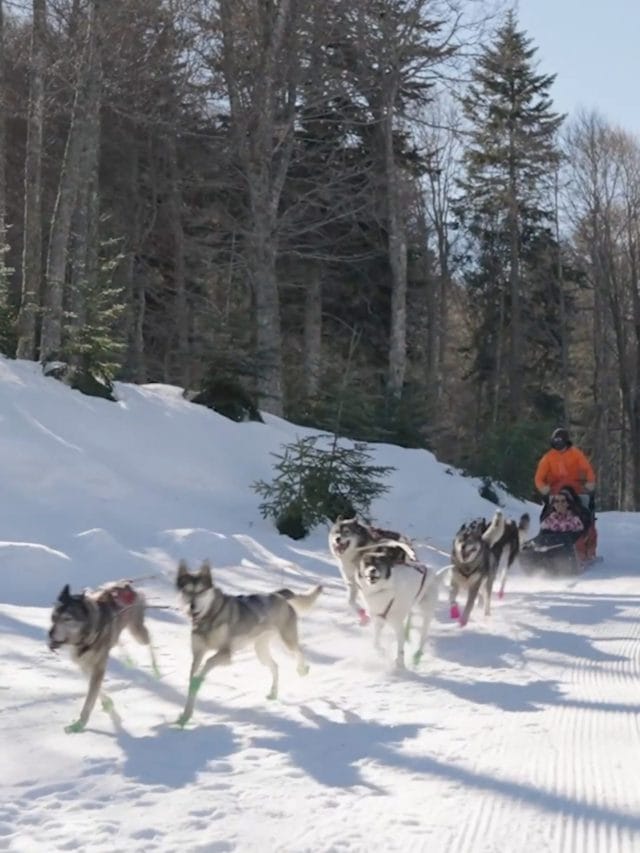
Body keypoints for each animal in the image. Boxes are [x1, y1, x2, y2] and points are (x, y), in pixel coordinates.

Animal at [47, 580, 158, 732]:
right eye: (53, 617)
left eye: (67, 619)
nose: (50, 634)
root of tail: (127, 585)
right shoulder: (85, 665)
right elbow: (97, 690)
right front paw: (107, 703)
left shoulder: (97, 668)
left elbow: (90, 699)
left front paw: (79, 724)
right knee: (119, 640)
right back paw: (128, 659)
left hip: (137, 633)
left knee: (149, 640)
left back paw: (156, 669)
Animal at [175, 560, 322, 724]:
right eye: (187, 591)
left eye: (200, 591)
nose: (191, 606)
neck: (211, 616)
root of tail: (278, 595)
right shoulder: (197, 655)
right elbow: (192, 681)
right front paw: (186, 715)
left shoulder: (225, 654)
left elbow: (207, 664)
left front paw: (198, 679)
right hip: (261, 651)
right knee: (275, 666)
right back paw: (273, 692)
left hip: (286, 640)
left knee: (298, 651)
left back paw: (302, 669)